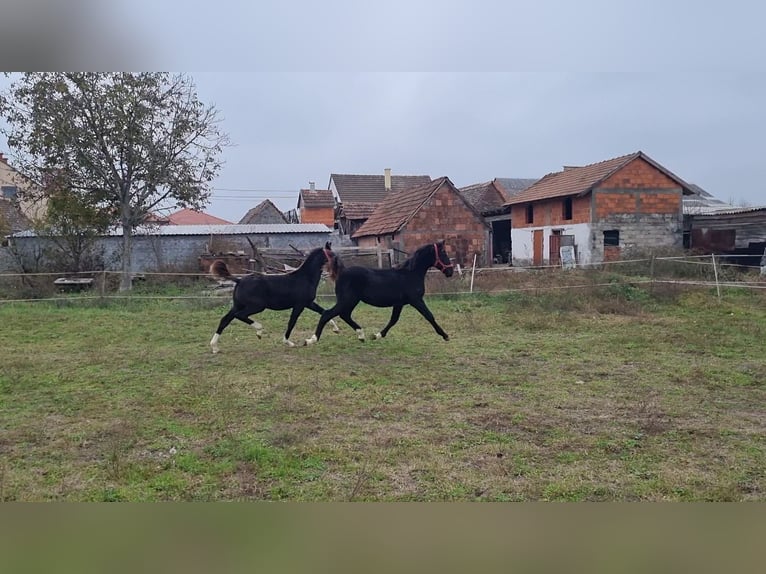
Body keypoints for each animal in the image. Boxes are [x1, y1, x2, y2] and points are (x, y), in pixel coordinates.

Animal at [212, 242, 340, 354]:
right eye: (332, 255)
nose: (339, 268)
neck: (306, 278)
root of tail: (239, 280)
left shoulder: (308, 303)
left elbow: (323, 312)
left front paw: (336, 329)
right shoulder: (299, 305)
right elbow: (292, 322)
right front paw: (288, 342)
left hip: (238, 305)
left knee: (225, 320)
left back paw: (215, 348)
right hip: (257, 306)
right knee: (239, 315)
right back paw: (259, 331)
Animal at [304, 240, 452, 346]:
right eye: (443, 253)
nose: (450, 272)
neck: (410, 274)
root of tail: (342, 272)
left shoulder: (399, 304)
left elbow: (393, 320)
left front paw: (377, 335)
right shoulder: (416, 300)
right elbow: (429, 316)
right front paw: (445, 336)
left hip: (351, 301)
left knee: (344, 315)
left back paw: (361, 335)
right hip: (347, 300)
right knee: (328, 314)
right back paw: (311, 340)